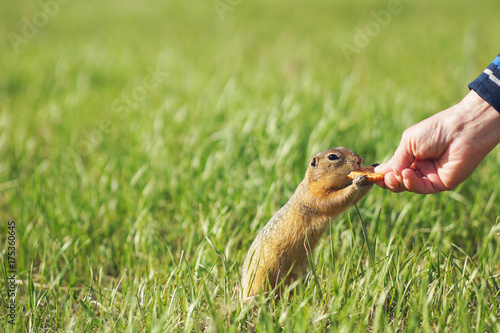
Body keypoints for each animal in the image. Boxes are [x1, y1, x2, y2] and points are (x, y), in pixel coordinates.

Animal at [240, 146, 374, 298]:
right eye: (332, 157)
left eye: (345, 147)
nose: (360, 160)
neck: (312, 181)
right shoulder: (314, 195)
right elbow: (336, 199)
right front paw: (357, 181)